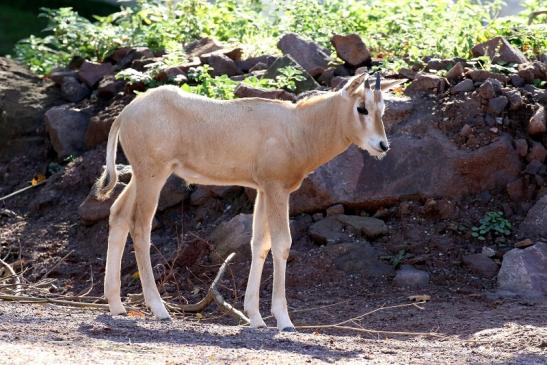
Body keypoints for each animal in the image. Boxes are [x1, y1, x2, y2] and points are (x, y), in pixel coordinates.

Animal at [96, 70, 392, 330]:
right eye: (362, 108)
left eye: (382, 110)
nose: (382, 146)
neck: (298, 126)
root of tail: (126, 113)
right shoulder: (276, 189)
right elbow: (282, 244)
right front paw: (284, 321)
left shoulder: (262, 190)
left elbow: (259, 243)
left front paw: (256, 318)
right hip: (153, 174)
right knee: (140, 226)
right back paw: (158, 308)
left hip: (141, 176)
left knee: (119, 214)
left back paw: (116, 305)